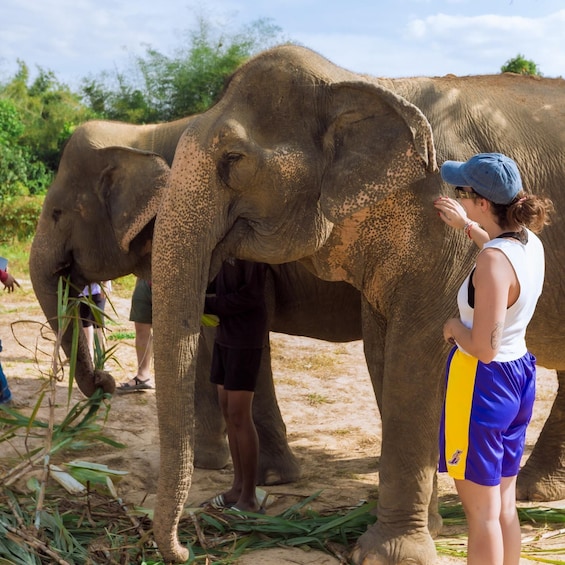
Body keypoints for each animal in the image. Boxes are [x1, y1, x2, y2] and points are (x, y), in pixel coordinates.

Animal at [28, 115, 362, 484]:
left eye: (57, 213)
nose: (106, 381)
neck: (142, 134)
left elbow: (238, 330)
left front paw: (274, 478)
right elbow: (199, 342)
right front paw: (205, 462)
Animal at [150, 45, 564, 564]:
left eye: (233, 158)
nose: (187, 547)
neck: (357, 81)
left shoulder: (444, 241)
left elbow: (416, 355)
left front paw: (390, 553)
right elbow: (383, 352)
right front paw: (421, 527)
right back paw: (536, 492)